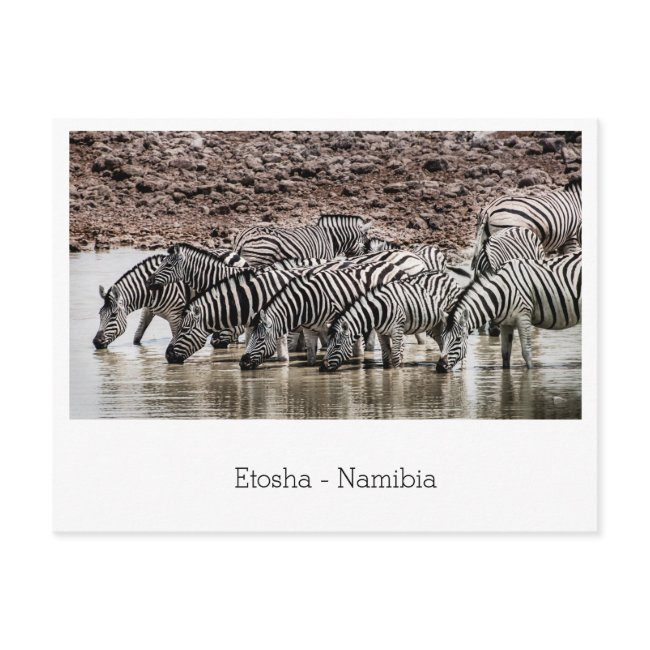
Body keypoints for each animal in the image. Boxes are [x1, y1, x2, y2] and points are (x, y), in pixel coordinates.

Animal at [165, 268, 300, 364]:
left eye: (184, 330)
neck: (252, 298)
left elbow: (282, 355)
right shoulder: (252, 325)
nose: (168, 356)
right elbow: (249, 343)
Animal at [238, 261, 413, 370]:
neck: (306, 302)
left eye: (260, 339)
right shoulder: (309, 328)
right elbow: (310, 355)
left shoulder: (334, 324)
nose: (242, 363)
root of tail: (395, 266)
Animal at [320, 280, 451, 372]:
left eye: (337, 346)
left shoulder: (397, 328)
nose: (322, 368)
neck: (377, 311)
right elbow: (386, 357)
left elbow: (395, 357)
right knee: (442, 343)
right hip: (434, 325)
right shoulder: (381, 332)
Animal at [435, 252, 582, 372]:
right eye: (442, 337)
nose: (440, 368)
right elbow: (505, 354)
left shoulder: (523, 317)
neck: (502, 292)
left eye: (458, 339)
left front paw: (530, 373)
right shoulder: (506, 323)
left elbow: (526, 352)